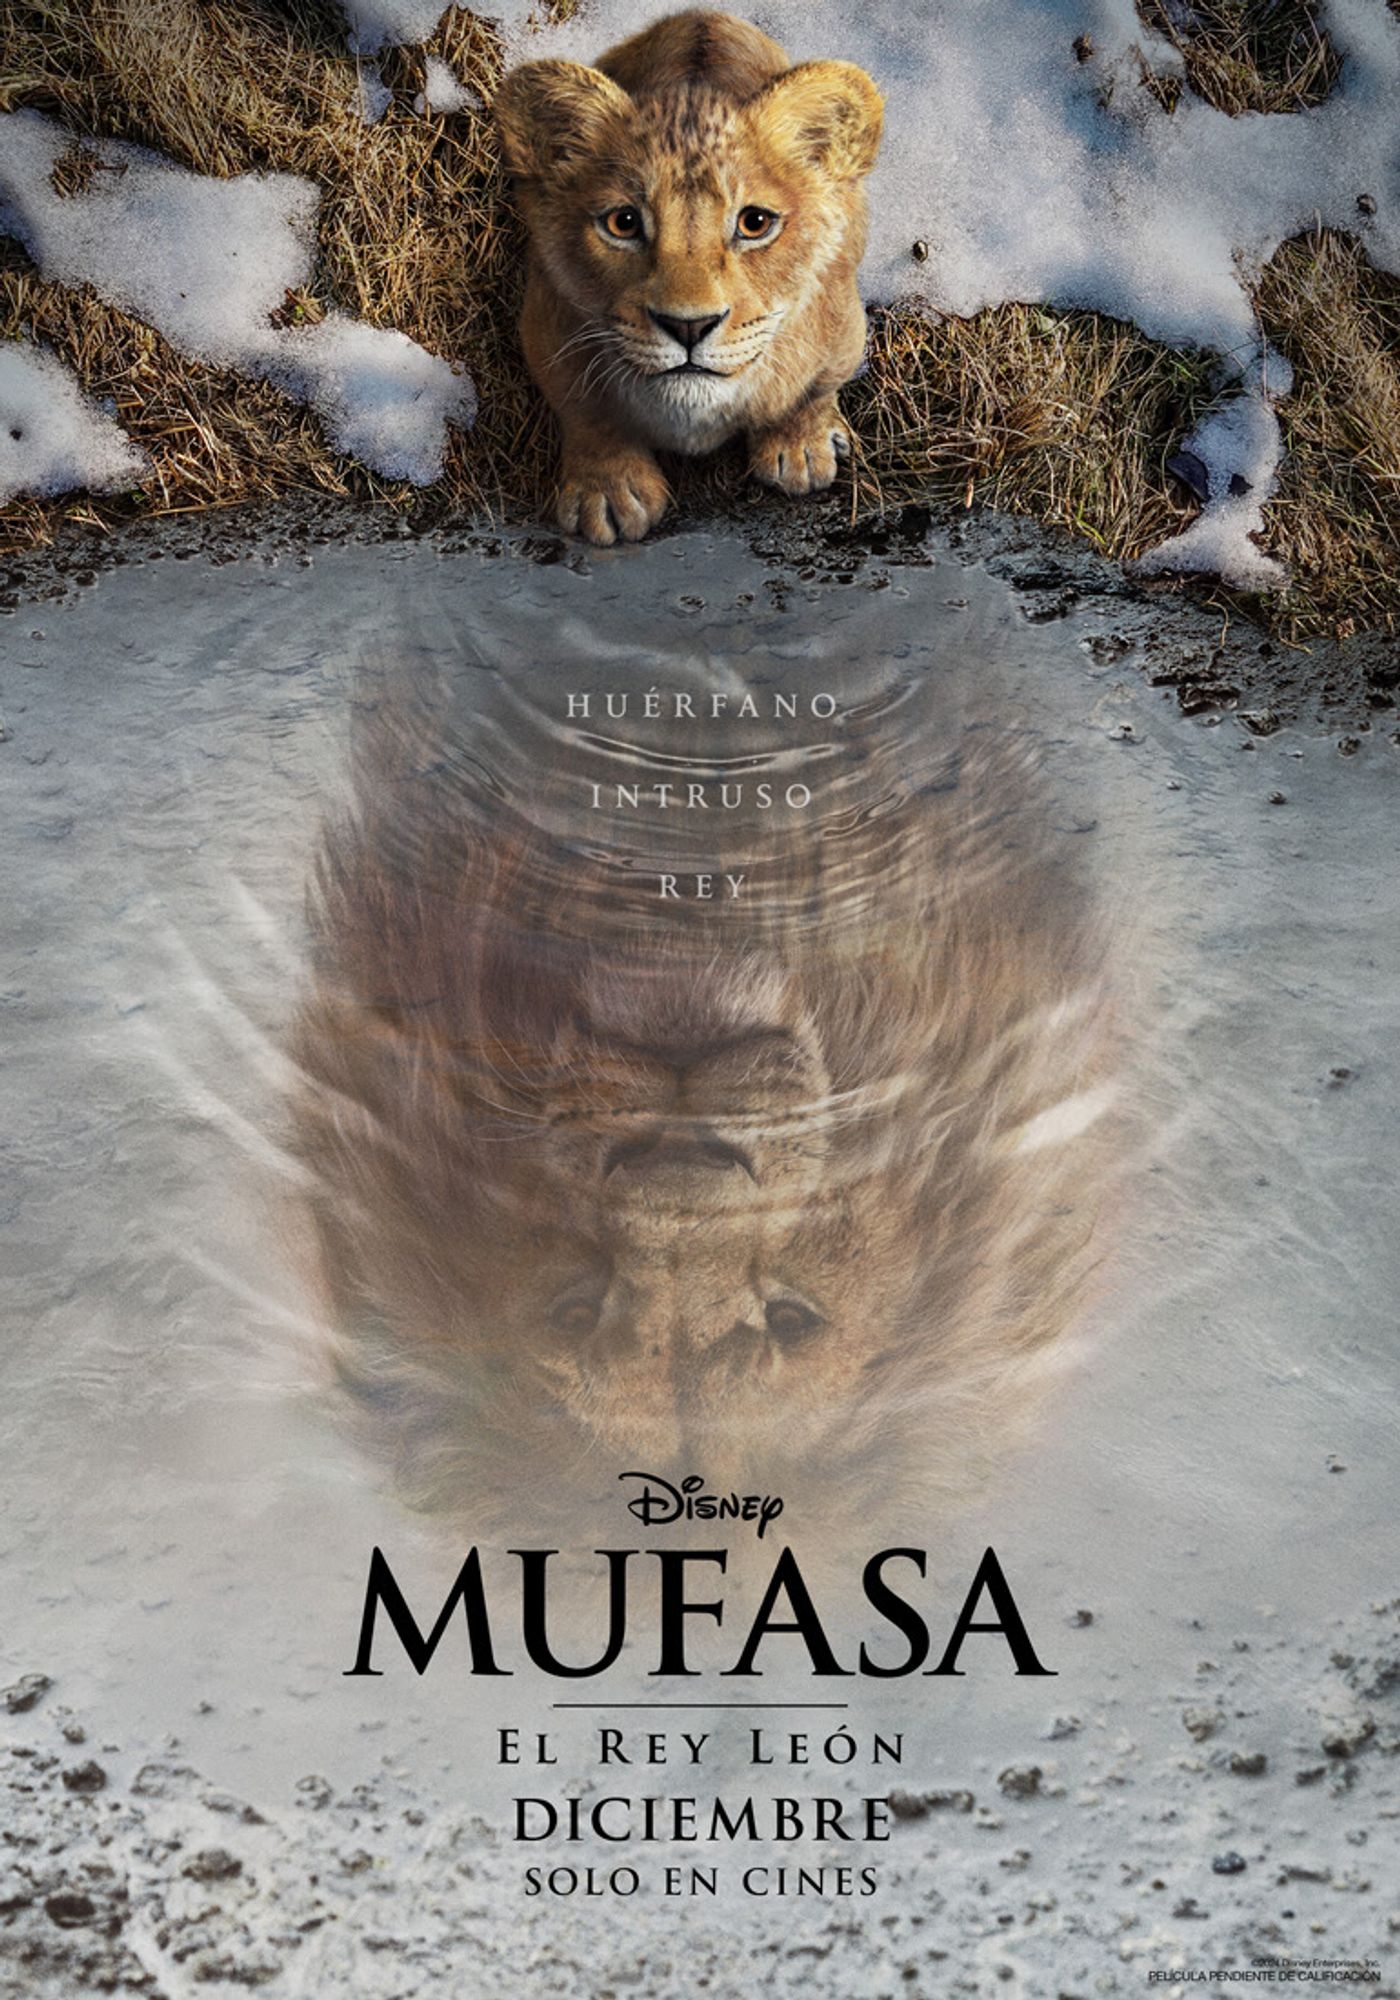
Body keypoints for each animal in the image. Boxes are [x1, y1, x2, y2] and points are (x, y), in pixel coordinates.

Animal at [494, 11, 883, 545]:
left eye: (755, 223)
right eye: (623, 223)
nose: (688, 327)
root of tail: (703, 14)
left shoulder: (842, 326)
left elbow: (812, 390)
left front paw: (800, 448)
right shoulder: (546, 325)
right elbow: (587, 411)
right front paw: (608, 492)